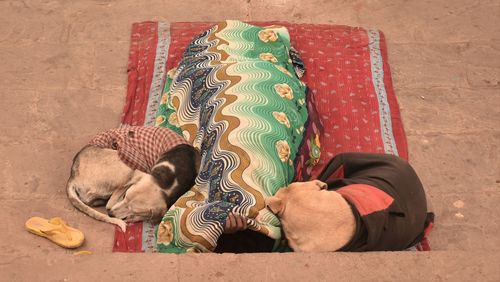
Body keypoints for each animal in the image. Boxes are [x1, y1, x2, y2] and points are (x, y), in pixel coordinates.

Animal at [66, 126, 199, 231]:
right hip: (129, 169)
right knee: (108, 202)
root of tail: (73, 176)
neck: (167, 181)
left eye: (135, 210)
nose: (110, 214)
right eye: (125, 196)